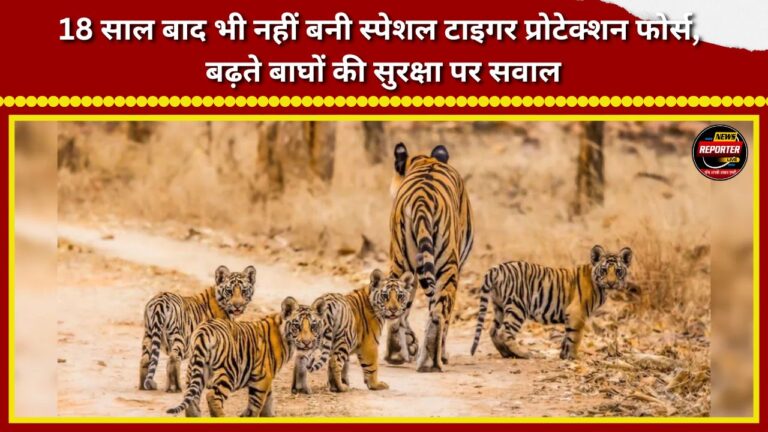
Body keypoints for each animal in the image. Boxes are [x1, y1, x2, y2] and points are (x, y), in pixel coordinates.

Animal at [166, 296, 326, 417]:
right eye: (297, 326)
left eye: (313, 326)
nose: (307, 342)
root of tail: (203, 330)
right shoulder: (262, 378)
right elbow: (256, 405)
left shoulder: (265, 377)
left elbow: (268, 399)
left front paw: (268, 416)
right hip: (228, 372)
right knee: (212, 397)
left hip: (195, 370)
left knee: (192, 399)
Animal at [385, 143, 474, 373]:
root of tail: (421, 200)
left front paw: (410, 343)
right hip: (447, 266)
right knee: (439, 313)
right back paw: (431, 361)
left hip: (401, 261)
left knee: (396, 305)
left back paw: (397, 354)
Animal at [470, 245, 633, 360]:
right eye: (604, 270)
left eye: (618, 271)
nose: (611, 283)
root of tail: (497, 268)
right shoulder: (577, 313)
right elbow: (575, 337)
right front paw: (573, 357)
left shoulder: (571, 316)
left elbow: (567, 336)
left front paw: (563, 355)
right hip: (518, 307)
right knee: (505, 332)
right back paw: (524, 354)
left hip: (499, 307)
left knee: (493, 330)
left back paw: (506, 353)